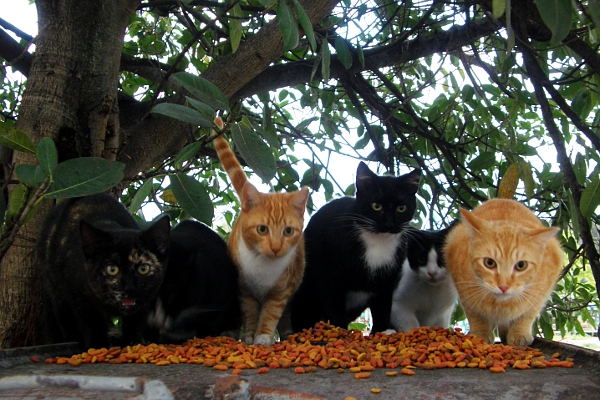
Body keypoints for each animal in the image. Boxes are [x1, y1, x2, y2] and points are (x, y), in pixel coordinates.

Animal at [36, 192, 170, 348]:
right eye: (112, 269)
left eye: (143, 268)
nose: (130, 287)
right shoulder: (80, 297)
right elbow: (92, 326)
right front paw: (98, 347)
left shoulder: (144, 302)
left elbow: (134, 325)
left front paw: (132, 344)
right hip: (55, 288)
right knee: (64, 318)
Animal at [212, 116, 310, 346]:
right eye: (262, 229)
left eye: (288, 231)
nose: (275, 247)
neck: (263, 266)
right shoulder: (244, 290)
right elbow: (250, 313)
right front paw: (249, 335)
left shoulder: (281, 292)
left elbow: (271, 313)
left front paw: (264, 335)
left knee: (285, 315)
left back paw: (287, 333)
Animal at [290, 161, 422, 332]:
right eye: (376, 206)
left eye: (401, 208)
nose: (389, 224)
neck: (378, 243)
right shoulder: (328, 274)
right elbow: (334, 306)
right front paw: (340, 331)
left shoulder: (387, 280)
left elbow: (383, 308)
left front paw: (381, 331)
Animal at [442, 198, 564, 346]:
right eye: (489, 263)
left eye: (521, 265)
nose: (503, 286)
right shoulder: (463, 288)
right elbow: (474, 313)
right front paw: (481, 332)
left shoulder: (542, 291)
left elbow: (529, 313)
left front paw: (519, 332)